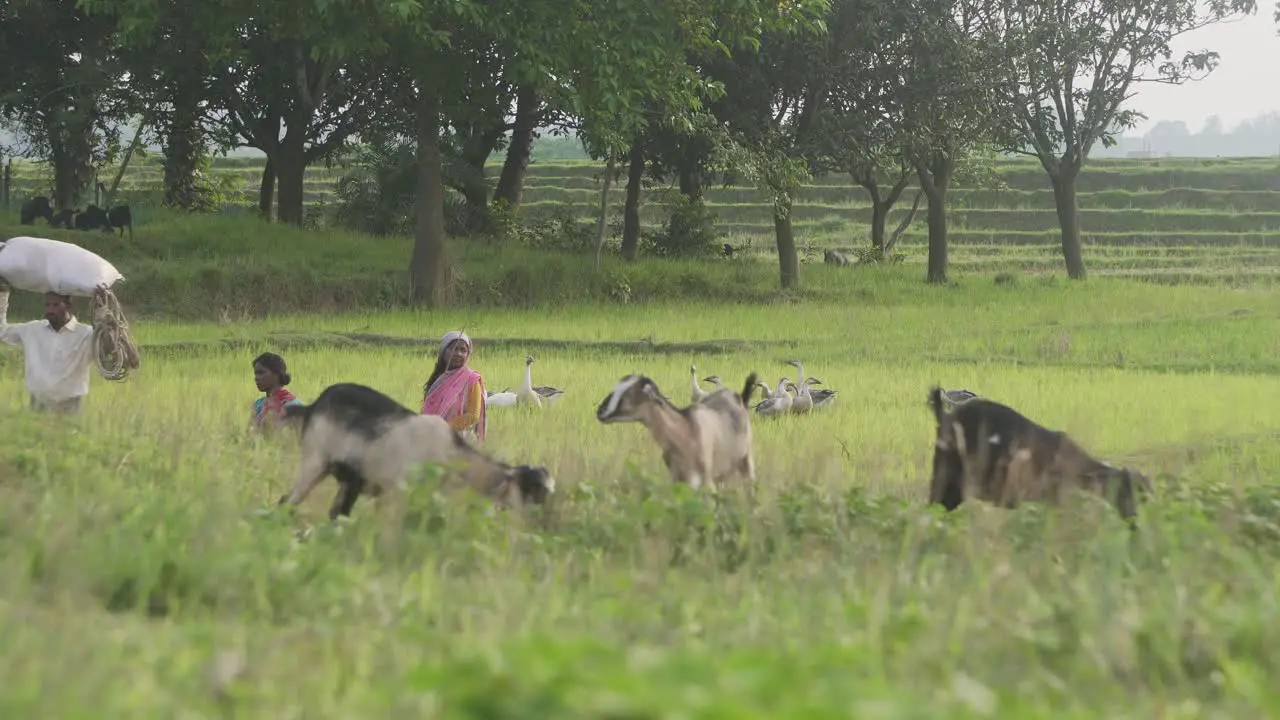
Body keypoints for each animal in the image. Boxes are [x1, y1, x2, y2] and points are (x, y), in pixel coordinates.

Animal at [277, 381, 558, 515]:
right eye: (533, 490)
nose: (543, 525)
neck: (449, 451)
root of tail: (314, 406)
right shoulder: (400, 489)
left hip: (348, 477)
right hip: (315, 458)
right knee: (286, 502)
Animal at [599, 366, 757, 489]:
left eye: (630, 394)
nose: (601, 412)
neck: (685, 429)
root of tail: (740, 397)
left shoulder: (705, 481)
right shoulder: (679, 480)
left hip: (746, 459)